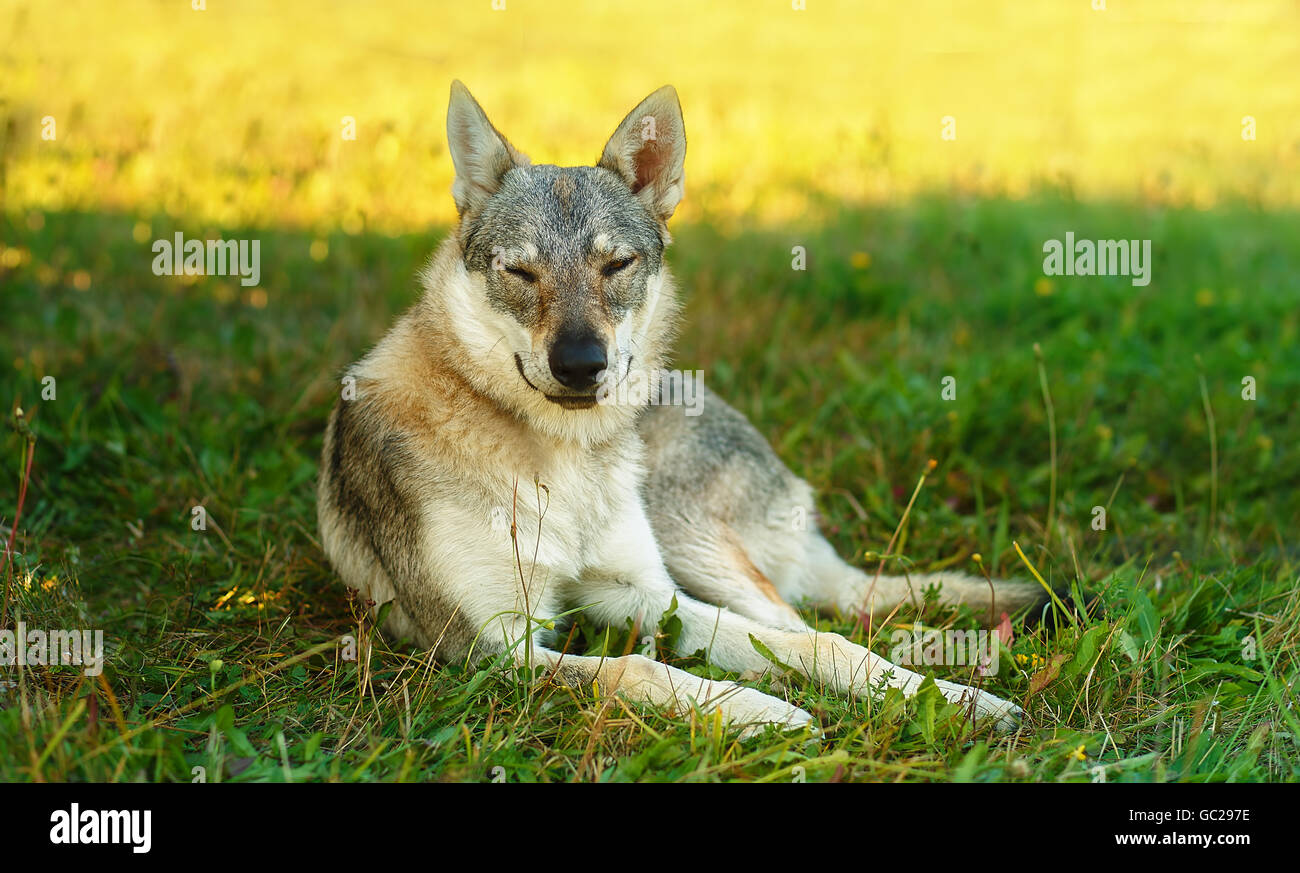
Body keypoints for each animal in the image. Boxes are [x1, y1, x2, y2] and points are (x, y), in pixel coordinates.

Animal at [317, 81, 1056, 735]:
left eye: (616, 265)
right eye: (520, 272)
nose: (580, 364)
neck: (561, 457)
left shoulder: (645, 592)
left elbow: (806, 647)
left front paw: (951, 701)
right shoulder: (490, 645)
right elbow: (640, 668)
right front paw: (759, 712)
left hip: (689, 543)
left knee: (816, 621)